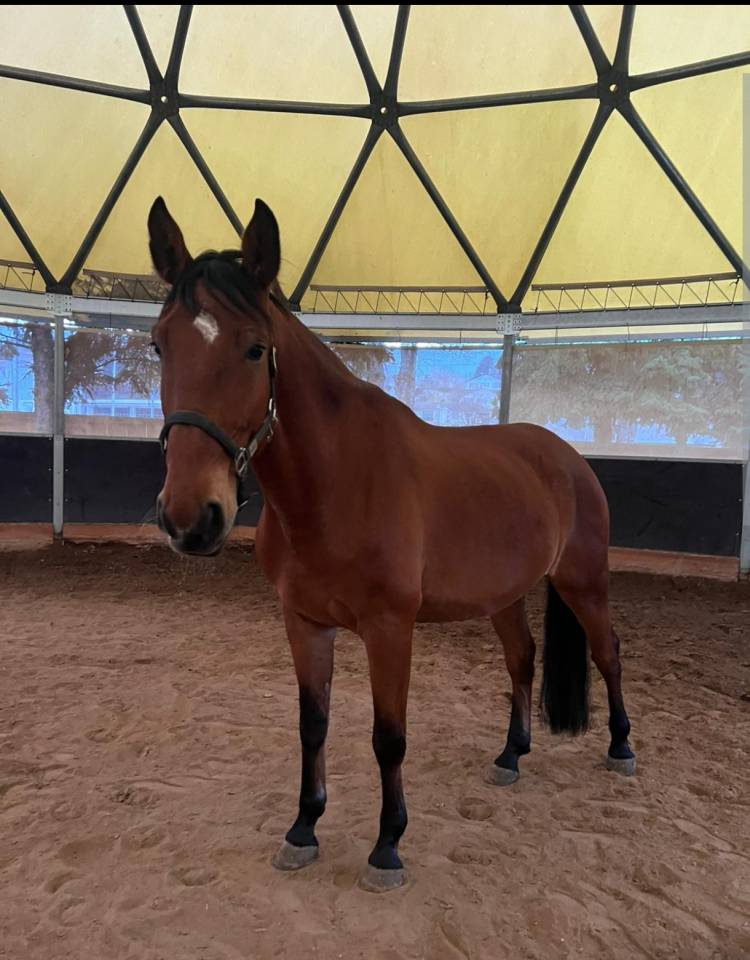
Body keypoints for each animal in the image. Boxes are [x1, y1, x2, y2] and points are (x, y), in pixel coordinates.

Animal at [148, 196, 635, 893]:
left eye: (254, 349)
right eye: (159, 344)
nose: (191, 518)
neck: (336, 484)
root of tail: (568, 457)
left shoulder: (389, 627)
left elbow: (389, 736)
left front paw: (387, 846)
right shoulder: (303, 623)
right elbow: (313, 726)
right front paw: (302, 830)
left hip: (584, 583)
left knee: (608, 654)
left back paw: (621, 747)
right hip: (506, 597)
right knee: (522, 659)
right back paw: (511, 755)